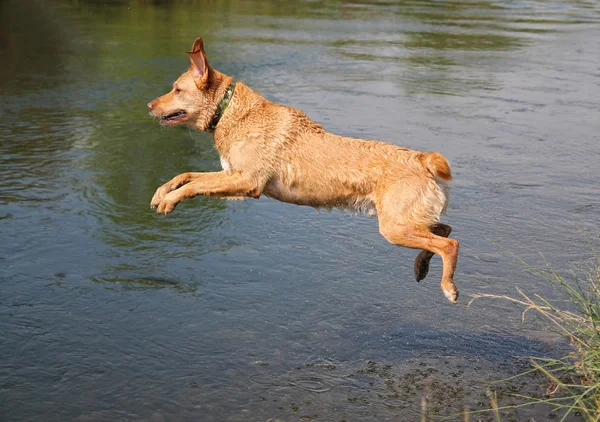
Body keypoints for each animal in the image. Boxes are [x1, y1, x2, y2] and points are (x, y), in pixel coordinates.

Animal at [146, 38, 460, 302]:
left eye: (177, 90)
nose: (148, 105)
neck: (229, 112)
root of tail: (422, 159)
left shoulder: (247, 181)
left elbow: (193, 185)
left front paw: (169, 201)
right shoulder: (233, 178)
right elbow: (187, 176)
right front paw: (161, 193)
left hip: (395, 227)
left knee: (450, 243)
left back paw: (448, 287)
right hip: (406, 221)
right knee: (444, 229)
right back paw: (421, 267)